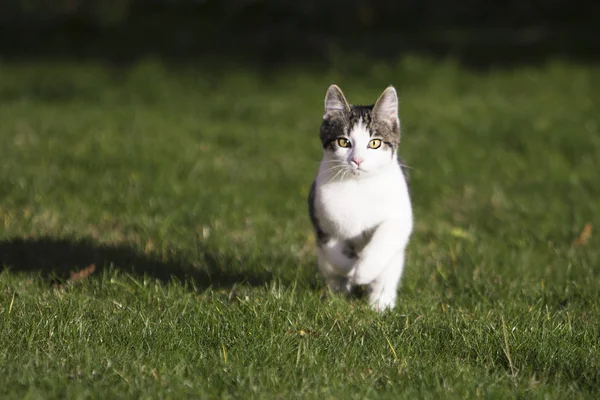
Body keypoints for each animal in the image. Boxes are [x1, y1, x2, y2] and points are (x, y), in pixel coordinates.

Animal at [310, 83, 412, 310]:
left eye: (374, 143)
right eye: (343, 142)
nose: (357, 160)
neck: (358, 186)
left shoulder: (400, 215)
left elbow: (385, 238)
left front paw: (363, 272)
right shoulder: (319, 214)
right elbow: (333, 252)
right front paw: (350, 269)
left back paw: (381, 304)